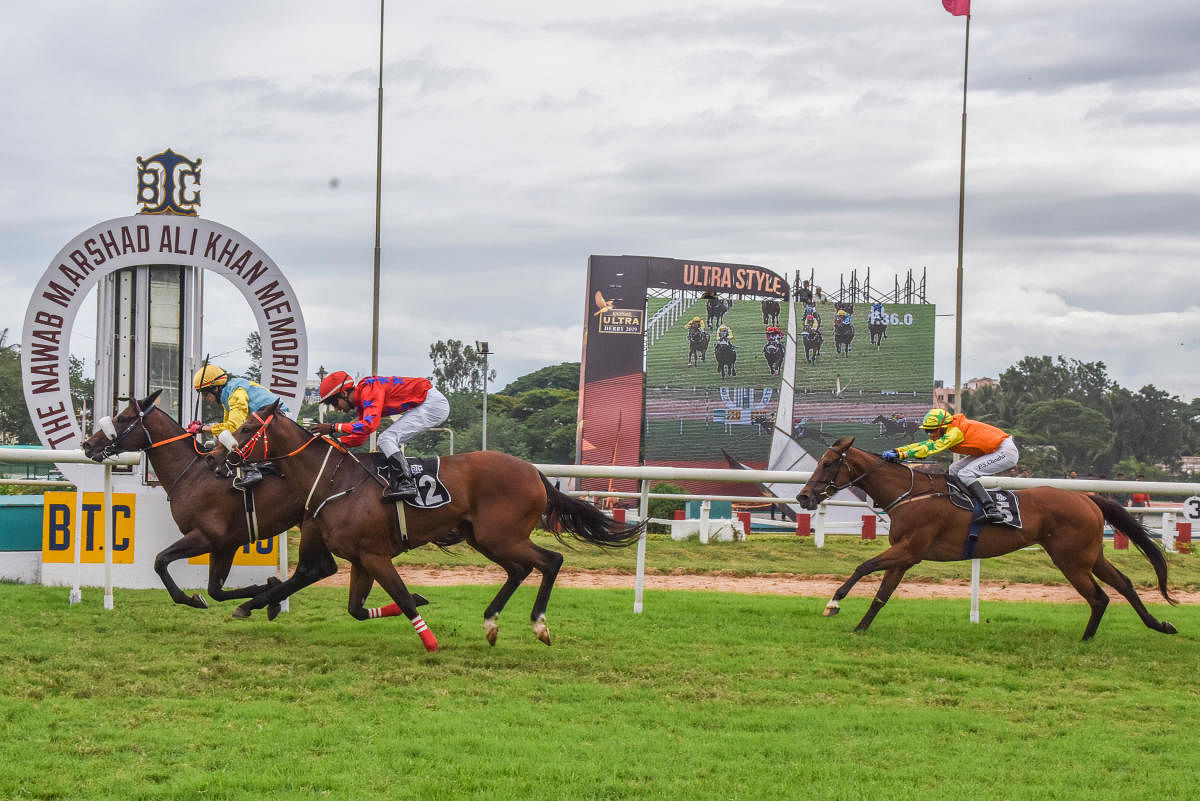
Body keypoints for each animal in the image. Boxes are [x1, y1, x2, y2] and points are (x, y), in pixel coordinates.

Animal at [796, 434, 1180, 642]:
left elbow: (863, 567)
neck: (911, 493)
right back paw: (1159, 625)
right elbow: (882, 594)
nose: (803, 497)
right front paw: (861, 627)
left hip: (1071, 559)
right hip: (1090, 556)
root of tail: (1087, 497)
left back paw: (1086, 639)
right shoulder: (904, 555)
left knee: (1099, 596)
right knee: (1124, 585)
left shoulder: (910, 550)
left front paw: (834, 603)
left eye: (828, 463)